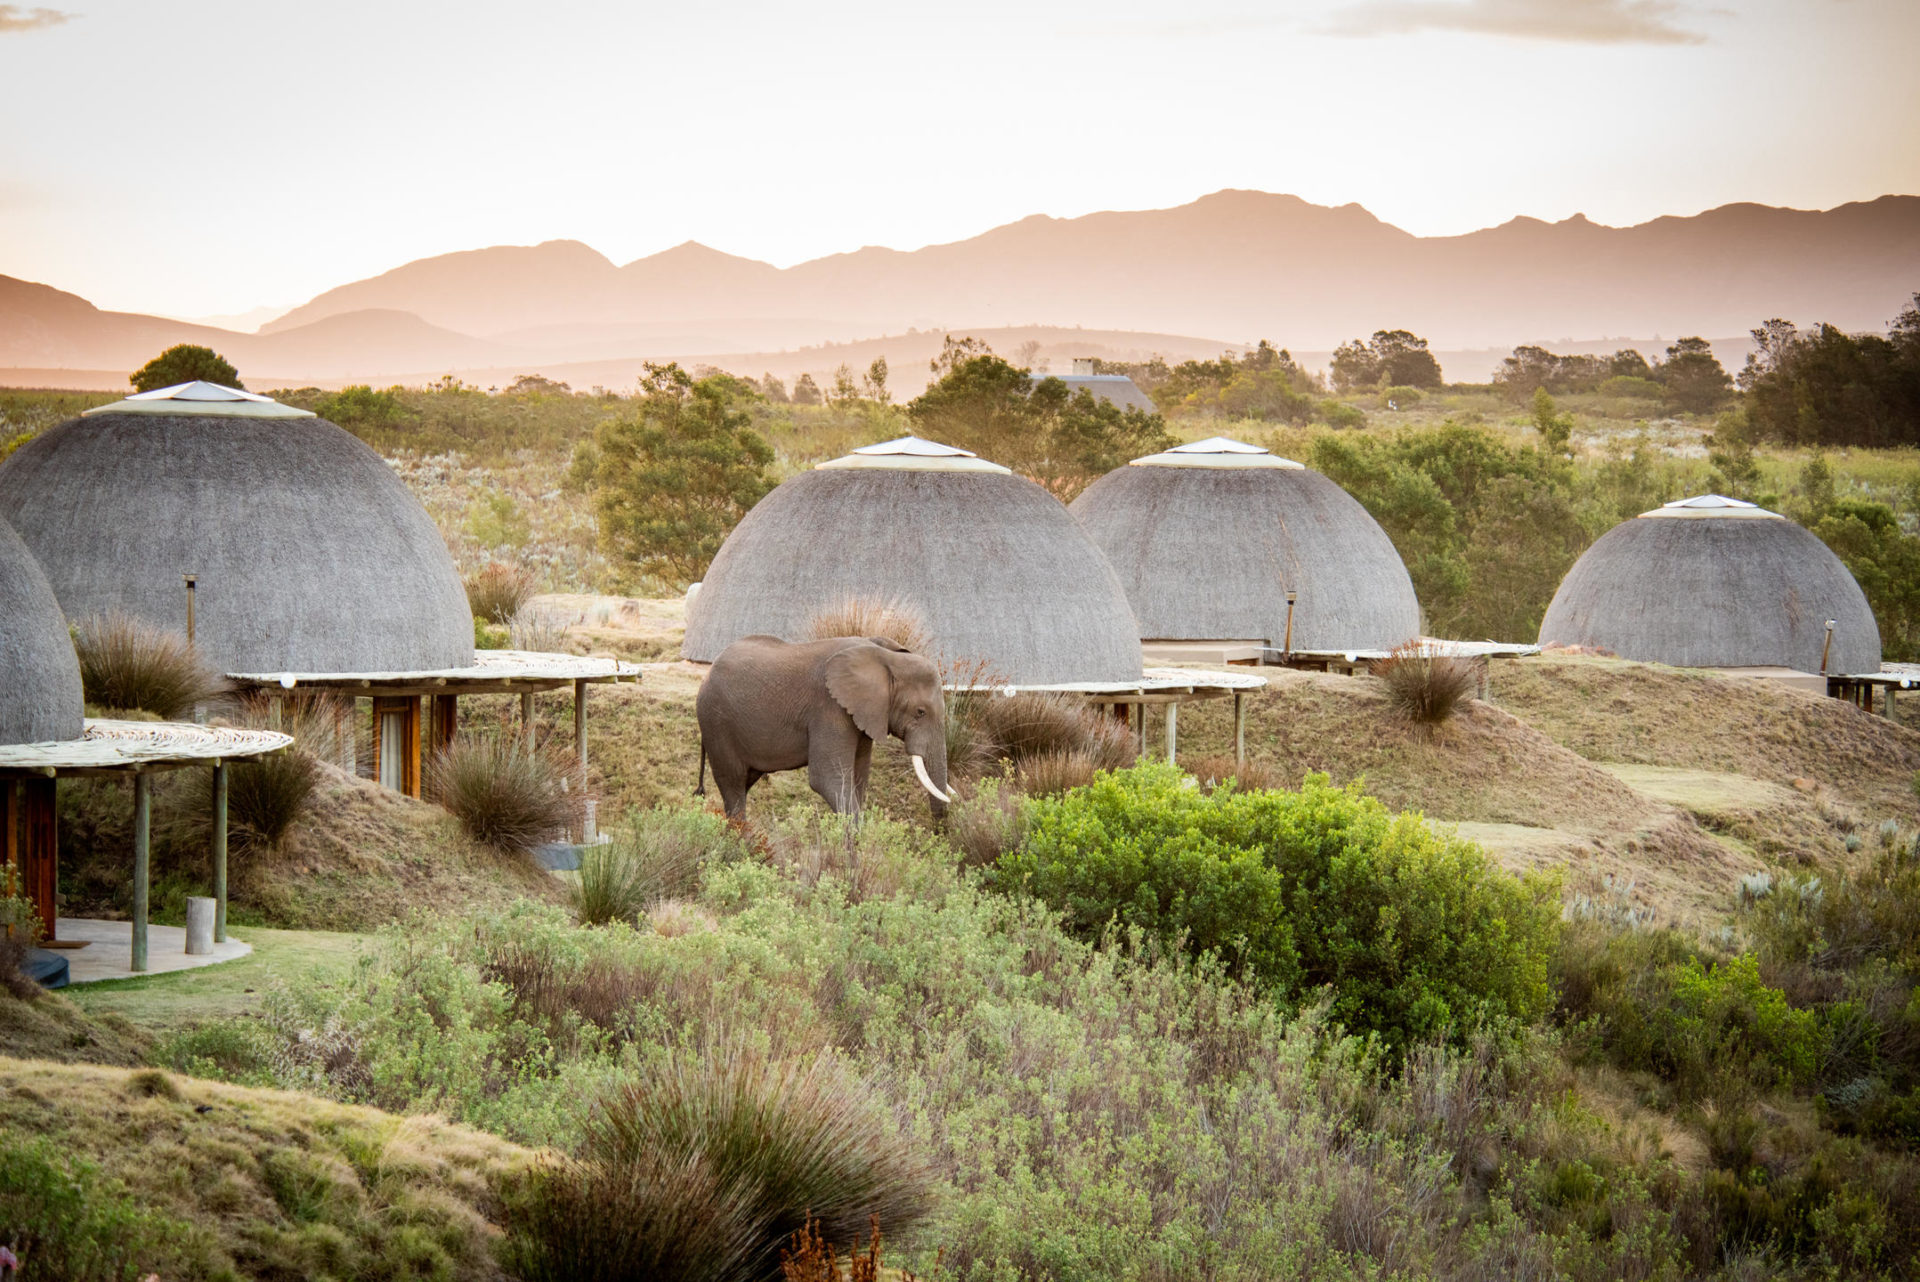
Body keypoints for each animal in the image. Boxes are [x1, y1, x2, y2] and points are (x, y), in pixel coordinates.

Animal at [695, 634, 951, 820]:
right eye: (920, 712)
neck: (885, 657)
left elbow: (859, 778)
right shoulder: (829, 709)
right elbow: (826, 779)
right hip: (716, 722)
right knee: (733, 784)